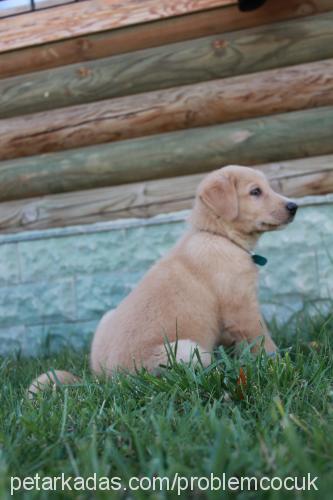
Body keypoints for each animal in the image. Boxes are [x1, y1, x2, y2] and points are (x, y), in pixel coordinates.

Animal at [27, 166, 296, 396]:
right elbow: (263, 341)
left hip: (107, 318)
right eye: (255, 192)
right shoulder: (243, 310)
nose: (294, 206)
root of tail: (102, 380)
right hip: (187, 349)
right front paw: (279, 364)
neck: (218, 235)